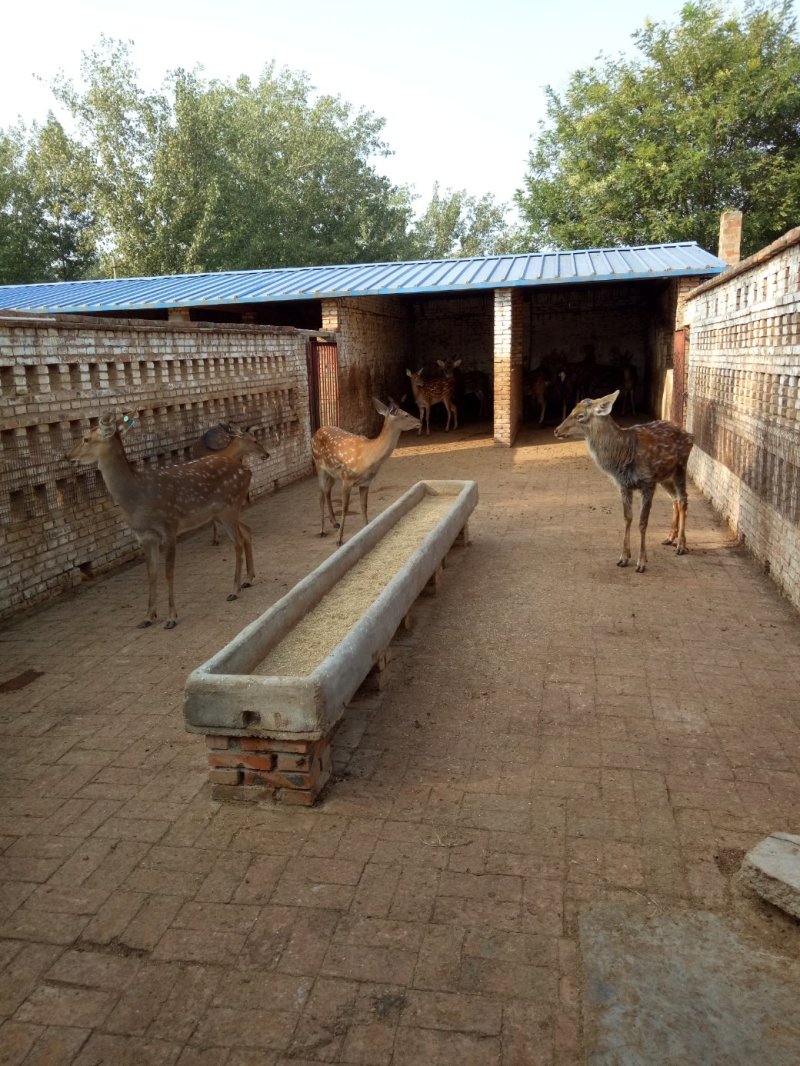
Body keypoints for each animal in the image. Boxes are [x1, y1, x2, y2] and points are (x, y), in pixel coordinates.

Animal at [68, 413, 269, 628]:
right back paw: (247, 579)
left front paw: (172, 617)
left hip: (229, 506)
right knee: (246, 531)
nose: (69, 457)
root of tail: (247, 471)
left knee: (237, 542)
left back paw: (234, 590)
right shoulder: (145, 537)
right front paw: (148, 616)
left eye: (86, 438)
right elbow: (151, 573)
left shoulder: (170, 527)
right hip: (222, 513)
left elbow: (169, 572)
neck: (137, 499)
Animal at [311, 397, 420, 546]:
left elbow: (364, 506)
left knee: (327, 492)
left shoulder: (366, 482)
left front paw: (366, 529)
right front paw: (339, 540)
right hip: (319, 465)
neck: (369, 457)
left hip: (332, 473)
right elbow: (345, 508)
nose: (419, 421)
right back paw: (322, 530)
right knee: (320, 494)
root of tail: (315, 433)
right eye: (406, 415)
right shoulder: (347, 478)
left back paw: (334, 523)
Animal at [554, 390, 693, 573]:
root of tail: (690, 435)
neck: (624, 453)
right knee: (675, 499)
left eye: (580, 415)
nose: (556, 430)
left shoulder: (648, 483)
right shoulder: (624, 486)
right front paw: (624, 558)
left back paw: (681, 545)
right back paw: (670, 537)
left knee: (683, 499)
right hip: (664, 476)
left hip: (680, 467)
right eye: (571, 410)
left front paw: (641, 562)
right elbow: (627, 518)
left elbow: (642, 522)